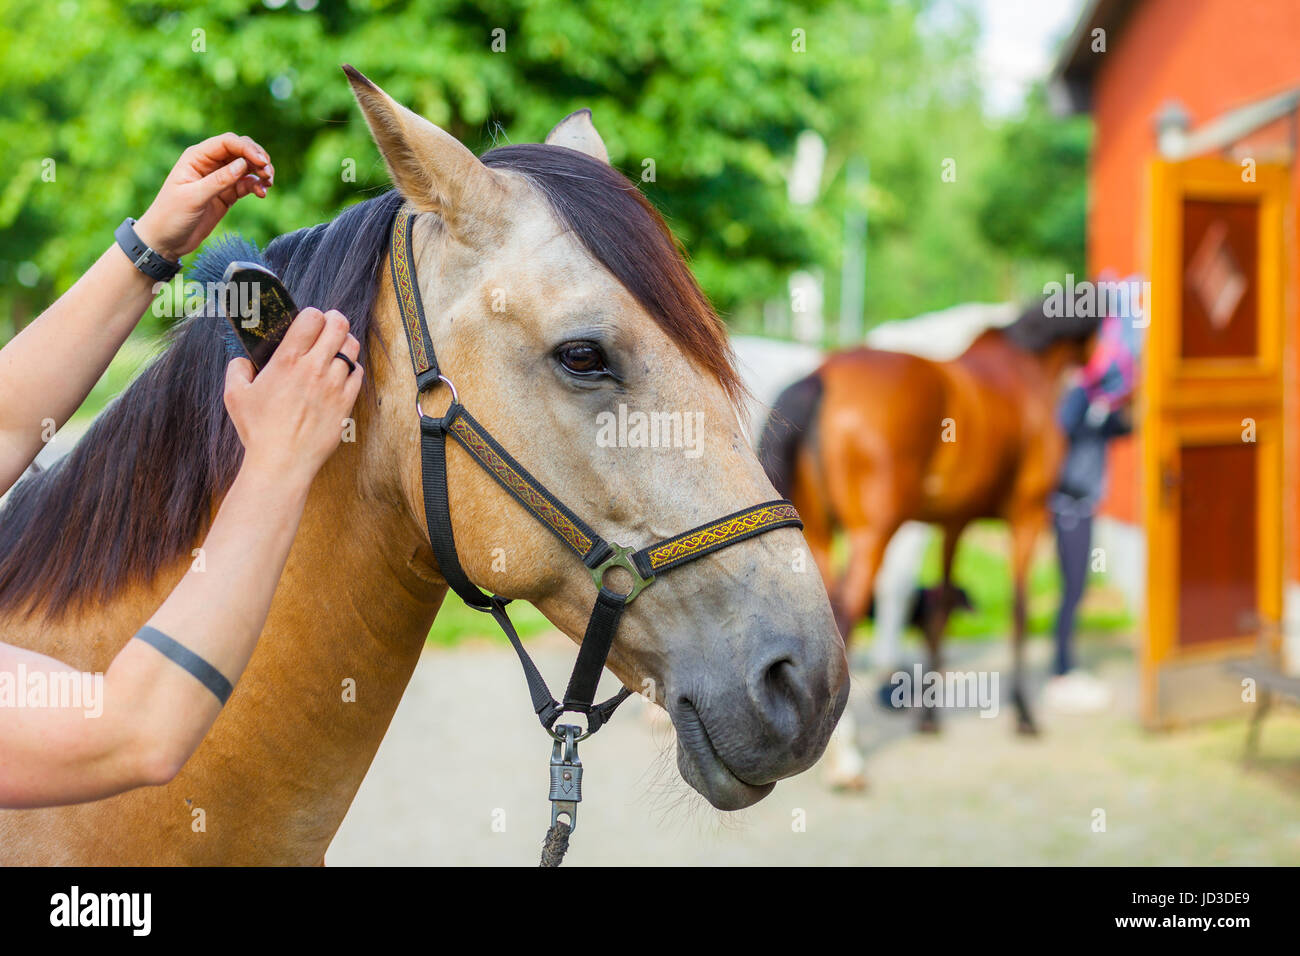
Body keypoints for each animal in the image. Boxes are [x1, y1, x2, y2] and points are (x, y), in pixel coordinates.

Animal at [759, 304, 1097, 785]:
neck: (1024, 367)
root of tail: (821, 376)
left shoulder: (953, 524)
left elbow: (938, 611)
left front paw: (930, 718)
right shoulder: (1028, 517)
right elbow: (1019, 610)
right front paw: (1024, 716)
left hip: (818, 537)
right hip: (873, 536)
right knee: (842, 620)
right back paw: (847, 760)